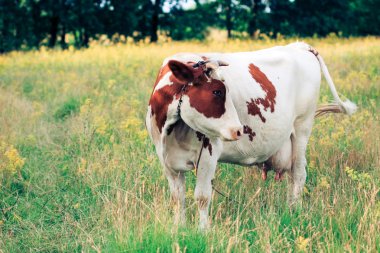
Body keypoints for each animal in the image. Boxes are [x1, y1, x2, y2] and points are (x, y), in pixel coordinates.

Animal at [145, 42, 356, 229]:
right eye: (217, 91)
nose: (239, 130)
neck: (171, 131)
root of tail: (299, 45)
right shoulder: (166, 160)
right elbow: (177, 198)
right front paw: (178, 229)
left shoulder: (208, 153)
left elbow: (202, 197)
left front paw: (203, 232)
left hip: (302, 127)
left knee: (298, 174)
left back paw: (294, 212)